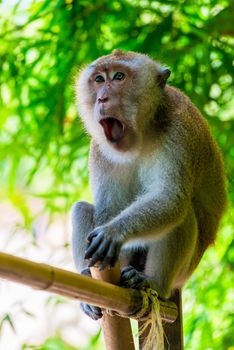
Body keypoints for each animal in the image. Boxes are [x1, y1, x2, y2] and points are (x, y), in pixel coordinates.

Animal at [72, 49, 227, 320]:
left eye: (119, 76)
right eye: (99, 79)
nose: (102, 98)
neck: (141, 135)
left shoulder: (179, 131)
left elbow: (170, 198)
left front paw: (114, 232)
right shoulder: (98, 149)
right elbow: (106, 210)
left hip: (185, 271)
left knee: (181, 214)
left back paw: (153, 282)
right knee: (82, 208)